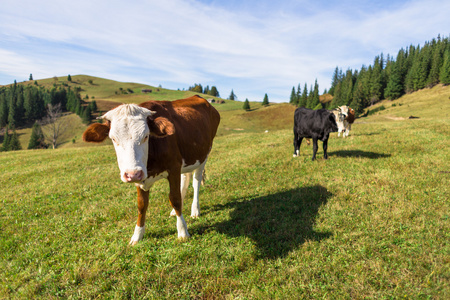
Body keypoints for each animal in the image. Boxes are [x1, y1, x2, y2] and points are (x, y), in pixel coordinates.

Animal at [83, 95, 221, 244]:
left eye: (146, 136)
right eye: (113, 138)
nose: (132, 174)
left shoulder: (174, 168)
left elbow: (175, 199)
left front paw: (183, 231)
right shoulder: (142, 176)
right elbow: (142, 205)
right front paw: (137, 235)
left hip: (204, 155)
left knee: (196, 181)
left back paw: (195, 210)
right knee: (185, 179)